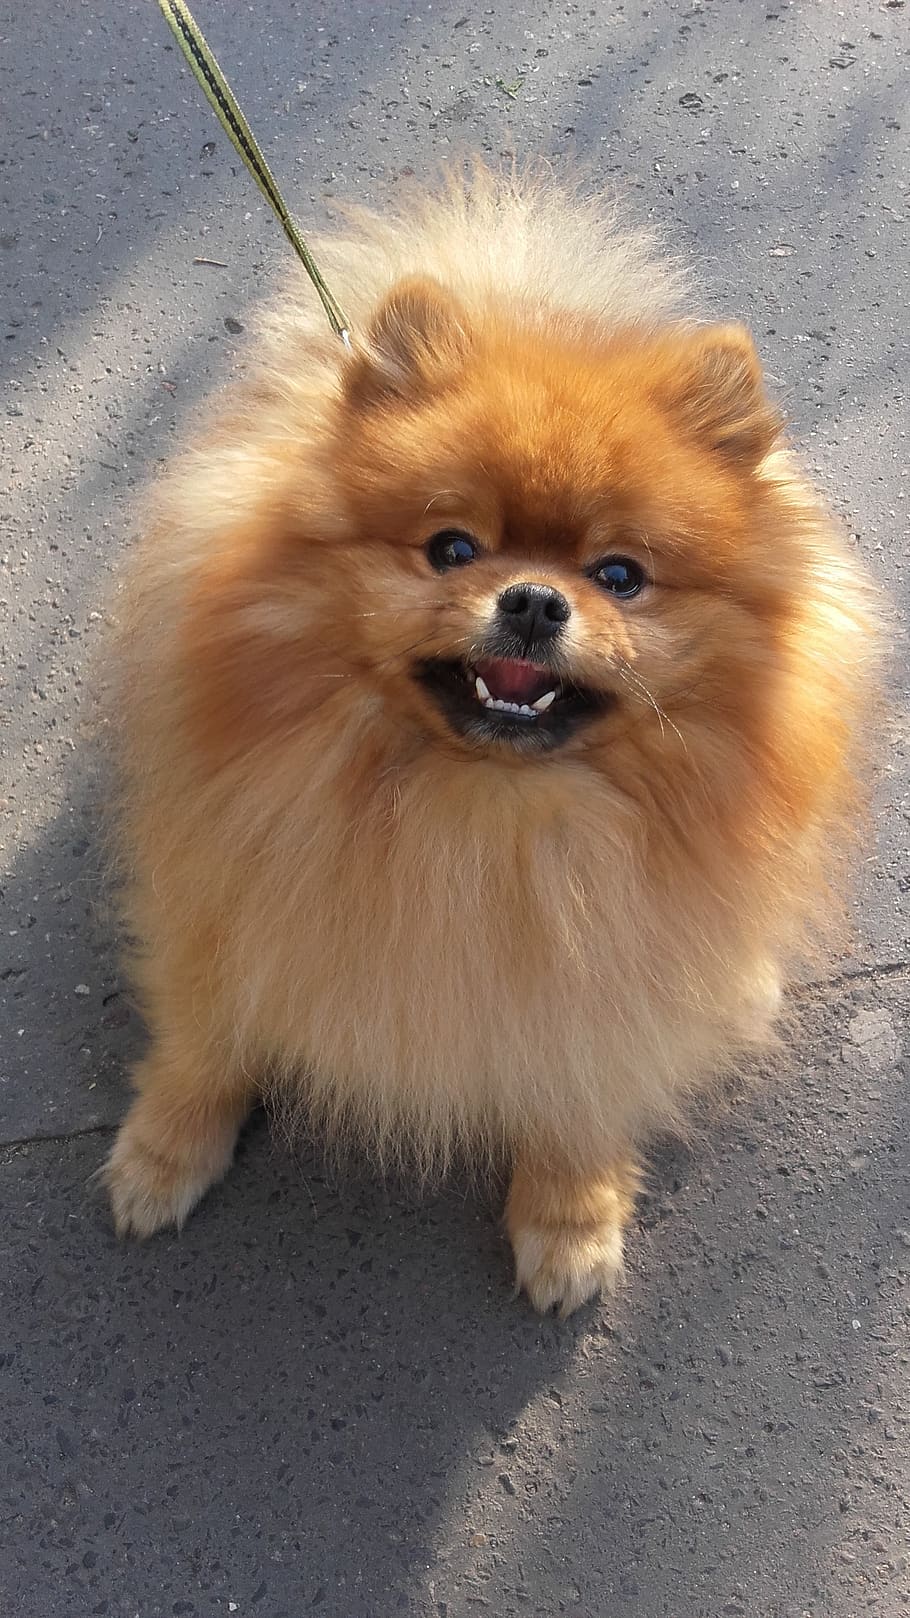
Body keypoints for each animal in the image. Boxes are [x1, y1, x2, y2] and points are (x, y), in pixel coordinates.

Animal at [102, 164, 874, 1313]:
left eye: (619, 575)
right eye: (451, 548)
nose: (533, 599)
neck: (486, 814)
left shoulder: (613, 965)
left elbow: (582, 1082)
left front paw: (569, 1215)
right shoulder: (225, 889)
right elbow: (205, 1035)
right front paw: (164, 1151)